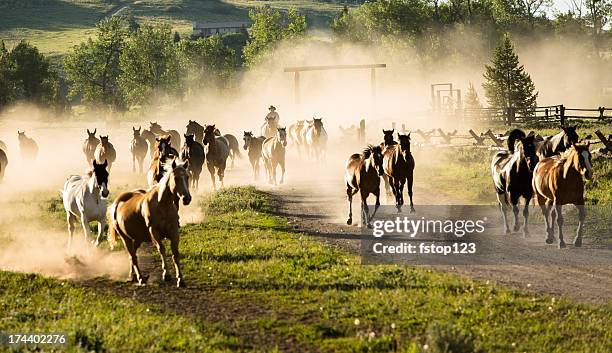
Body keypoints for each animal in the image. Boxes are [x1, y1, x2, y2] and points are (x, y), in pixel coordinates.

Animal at [109, 158, 191, 288]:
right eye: (176, 177)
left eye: (187, 176)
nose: (186, 198)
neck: (162, 205)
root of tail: (116, 203)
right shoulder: (154, 231)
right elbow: (161, 249)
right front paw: (166, 275)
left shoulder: (174, 231)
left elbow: (175, 253)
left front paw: (180, 279)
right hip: (125, 238)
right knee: (133, 257)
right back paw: (140, 278)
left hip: (137, 239)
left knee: (132, 255)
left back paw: (132, 276)